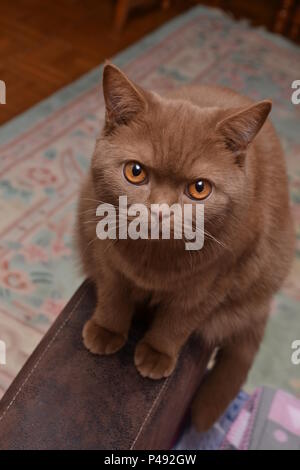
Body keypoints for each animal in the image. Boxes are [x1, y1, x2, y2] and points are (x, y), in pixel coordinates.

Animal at [75, 64, 296, 432]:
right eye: (135, 172)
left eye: (199, 188)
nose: (160, 210)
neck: (153, 255)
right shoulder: (103, 247)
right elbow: (113, 292)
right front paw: (107, 330)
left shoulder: (216, 279)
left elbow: (179, 319)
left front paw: (157, 353)